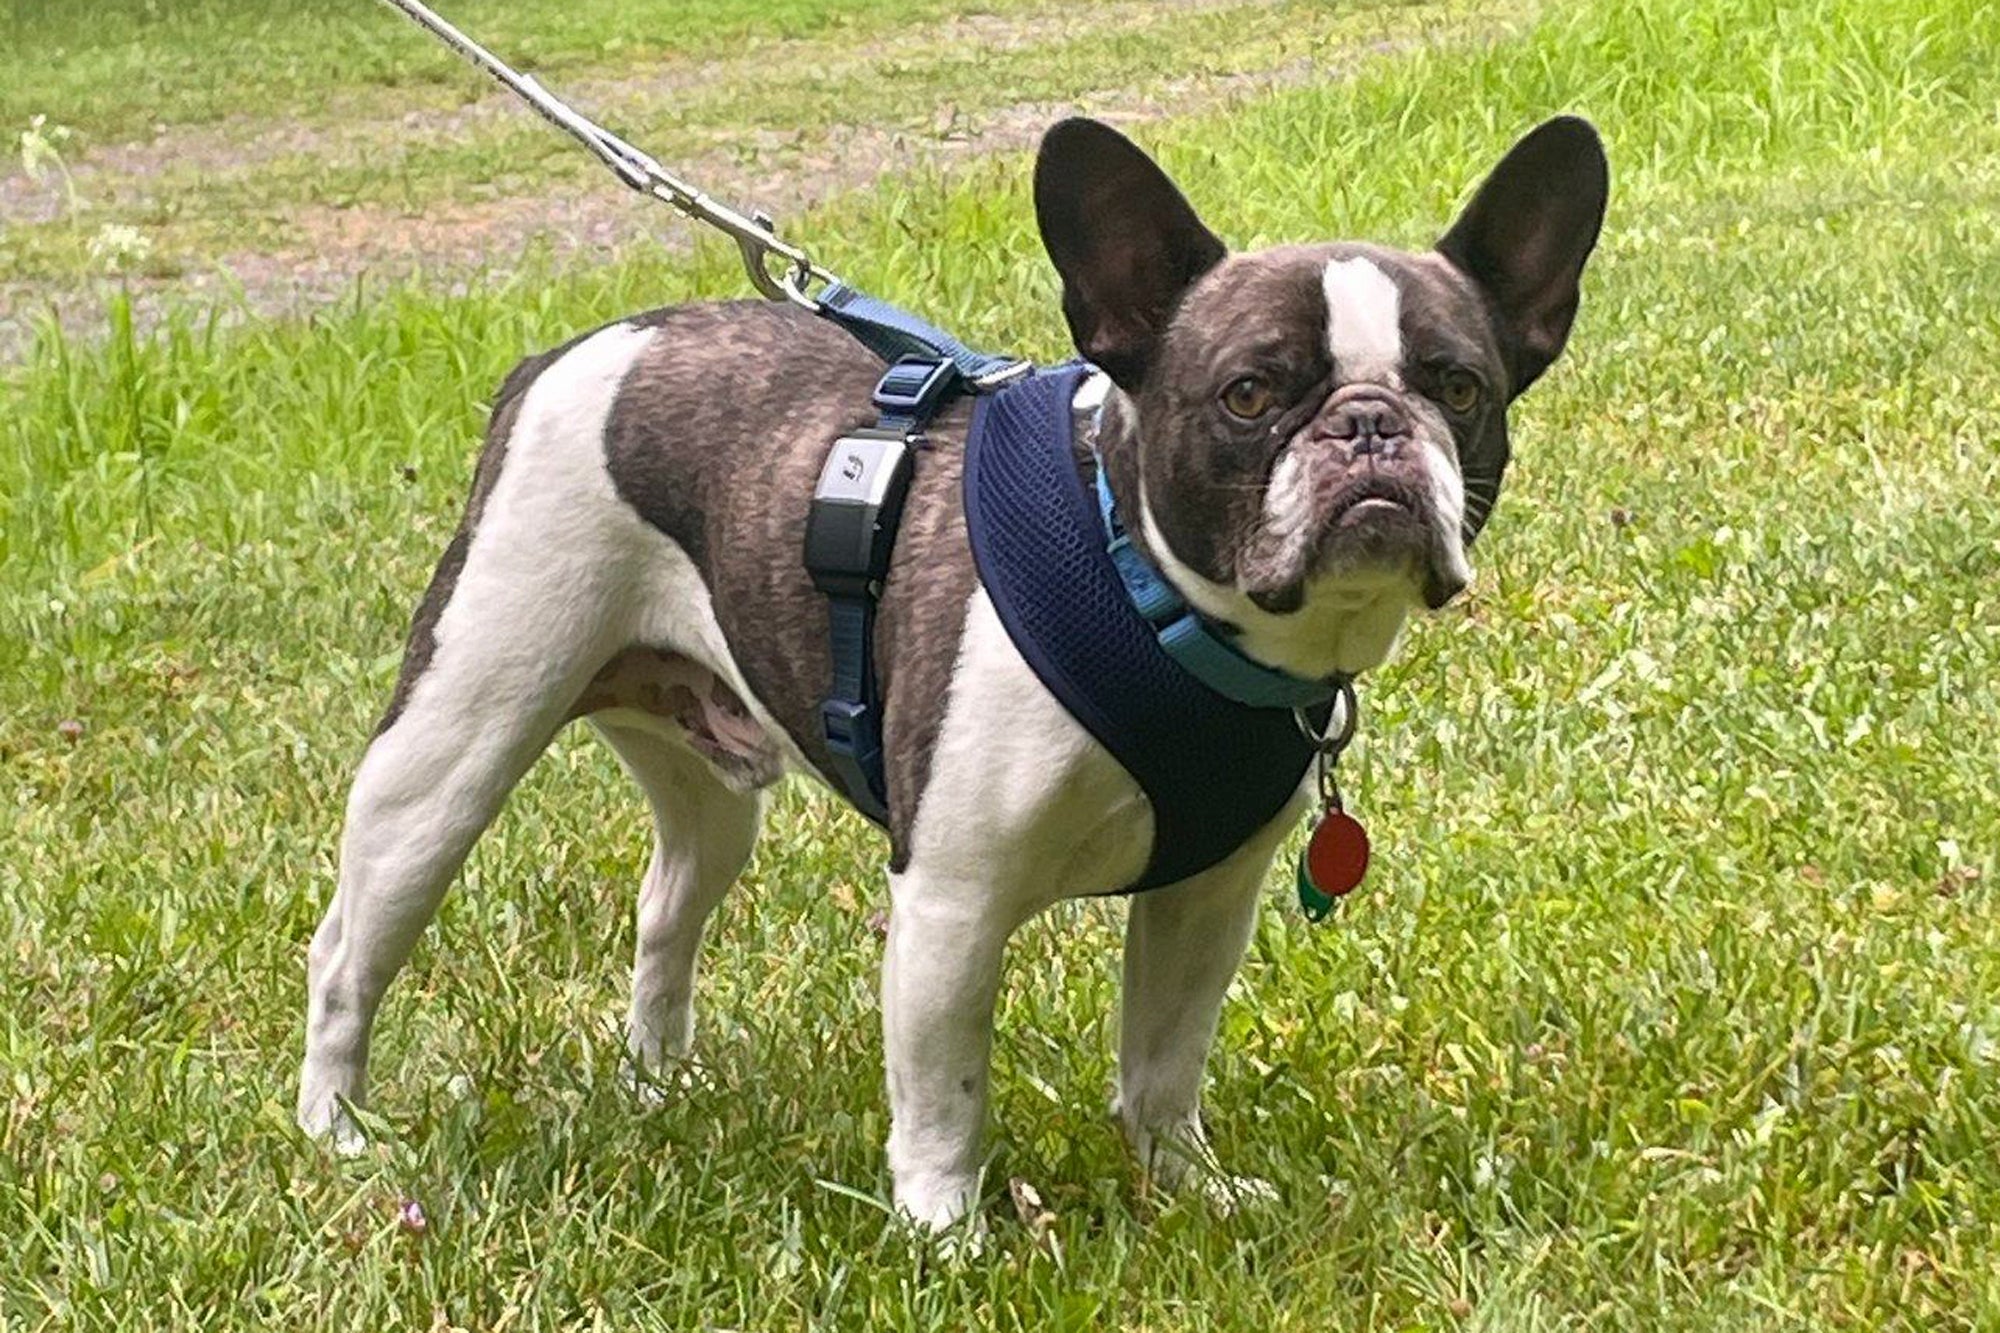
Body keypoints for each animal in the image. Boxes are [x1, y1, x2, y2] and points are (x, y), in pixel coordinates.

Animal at [296, 114, 1608, 1224]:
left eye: (1458, 388)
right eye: (1247, 394)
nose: (1372, 424)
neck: (1156, 603)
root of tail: (562, 357)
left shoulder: (1205, 898)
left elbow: (1164, 1057)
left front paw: (1183, 1182)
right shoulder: (953, 897)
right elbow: (943, 1086)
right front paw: (944, 1233)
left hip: (707, 790)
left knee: (666, 908)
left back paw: (660, 1082)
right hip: (453, 744)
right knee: (348, 950)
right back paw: (338, 1130)